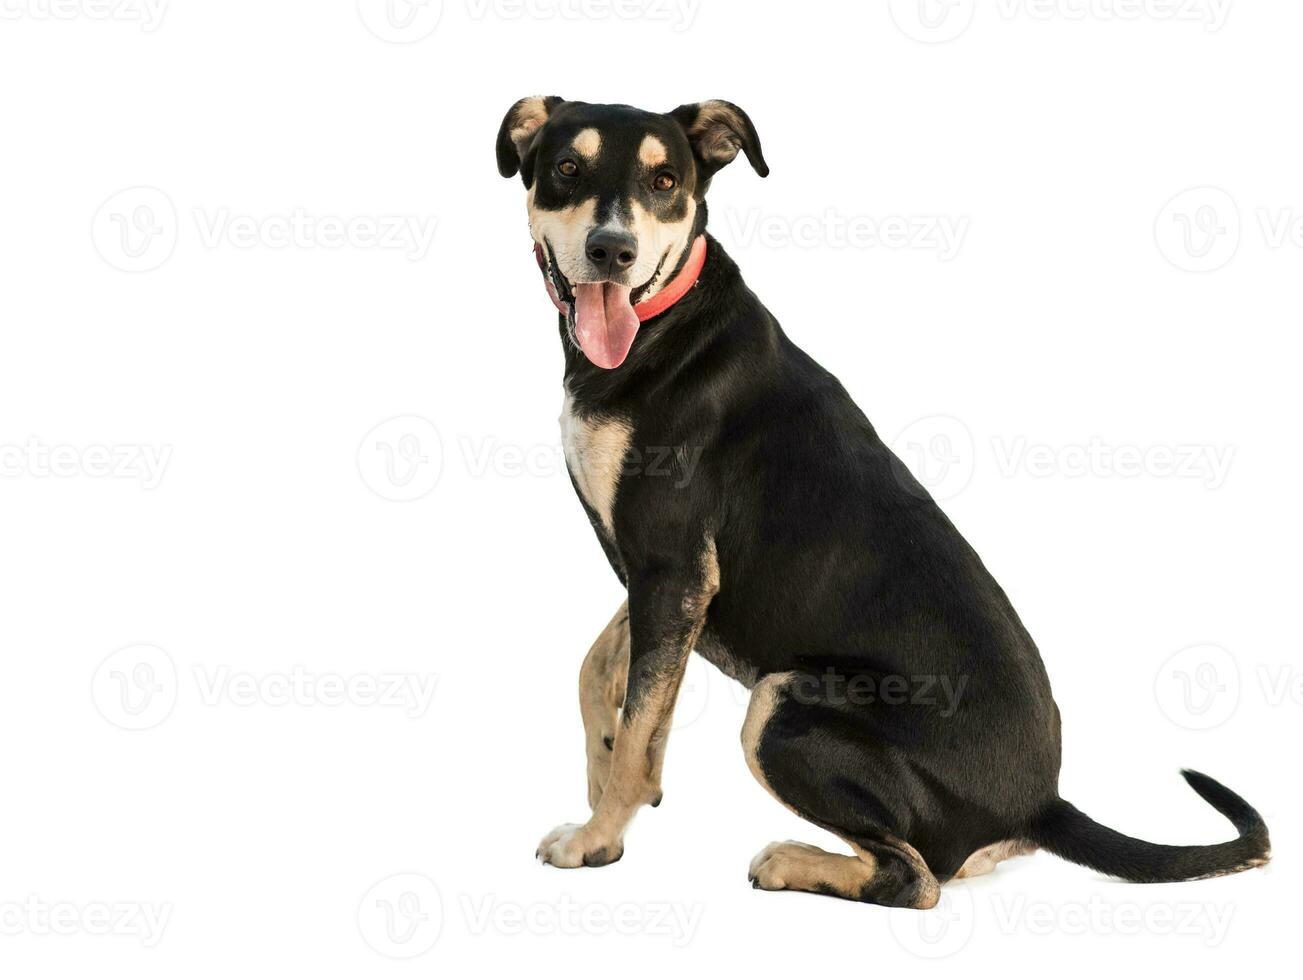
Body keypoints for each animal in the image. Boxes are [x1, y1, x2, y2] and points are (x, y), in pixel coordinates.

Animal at [497, 95, 1271, 907]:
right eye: (567, 168)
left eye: (665, 180)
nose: (611, 250)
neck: (658, 330)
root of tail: (1041, 804)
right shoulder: (668, 576)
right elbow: (599, 674)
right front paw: (607, 778)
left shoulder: (673, 566)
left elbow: (642, 716)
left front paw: (598, 838)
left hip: (781, 702)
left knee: (915, 879)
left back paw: (789, 860)